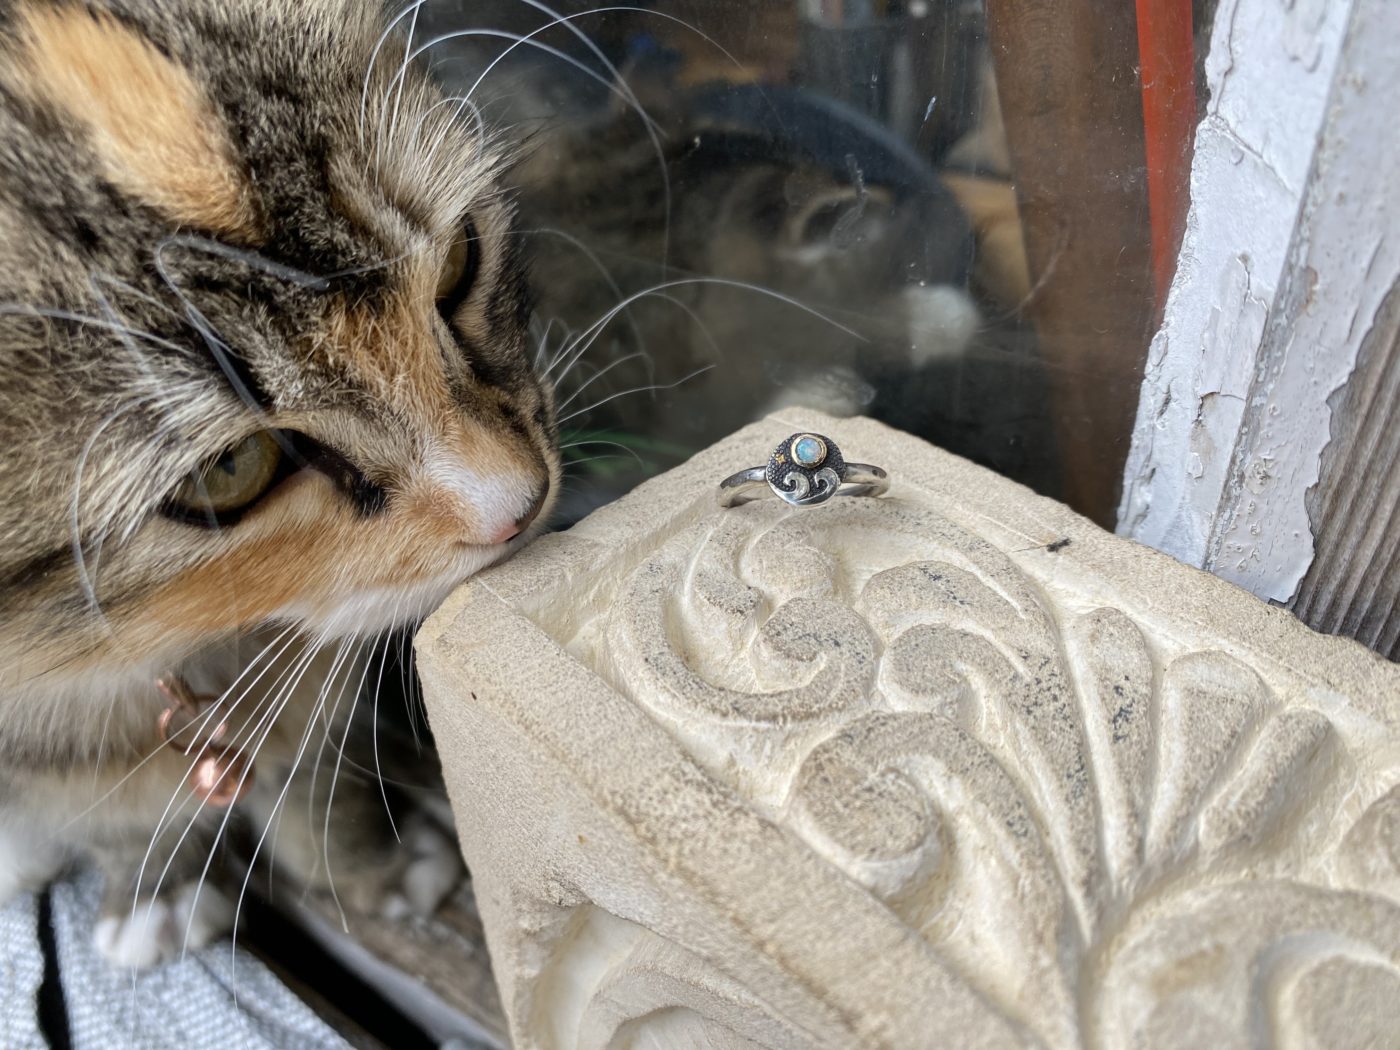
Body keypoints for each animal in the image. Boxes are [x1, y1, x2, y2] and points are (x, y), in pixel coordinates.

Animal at [0, 0, 557, 968]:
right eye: (228, 470)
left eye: (459, 263)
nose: (520, 505)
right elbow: (114, 813)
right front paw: (157, 885)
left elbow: (310, 769)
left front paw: (372, 862)